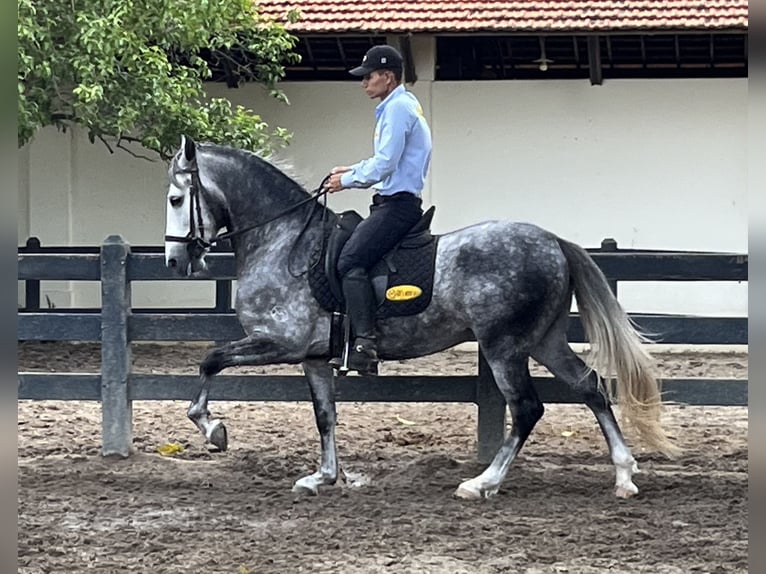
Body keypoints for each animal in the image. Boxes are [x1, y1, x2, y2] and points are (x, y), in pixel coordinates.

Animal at [162, 137, 680, 502]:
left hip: (504, 347)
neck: (285, 242)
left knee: (528, 408)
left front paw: (213, 430)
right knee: (590, 387)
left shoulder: (279, 342)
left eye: (174, 199)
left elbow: (211, 360)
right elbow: (325, 415)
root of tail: (553, 241)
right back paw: (623, 475)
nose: (174, 262)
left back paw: (482, 483)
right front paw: (323, 477)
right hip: (543, 341)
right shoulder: (312, 357)